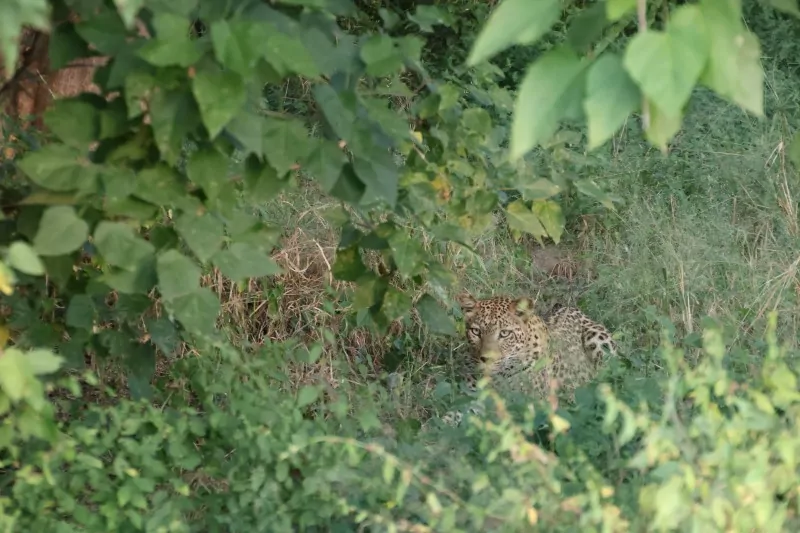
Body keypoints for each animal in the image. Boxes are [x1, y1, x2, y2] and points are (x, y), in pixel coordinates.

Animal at [434, 293, 618, 427]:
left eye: (504, 333)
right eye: (476, 331)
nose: (486, 359)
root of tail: (568, 306)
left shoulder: (527, 407)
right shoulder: (471, 396)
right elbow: (456, 413)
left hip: (601, 344)